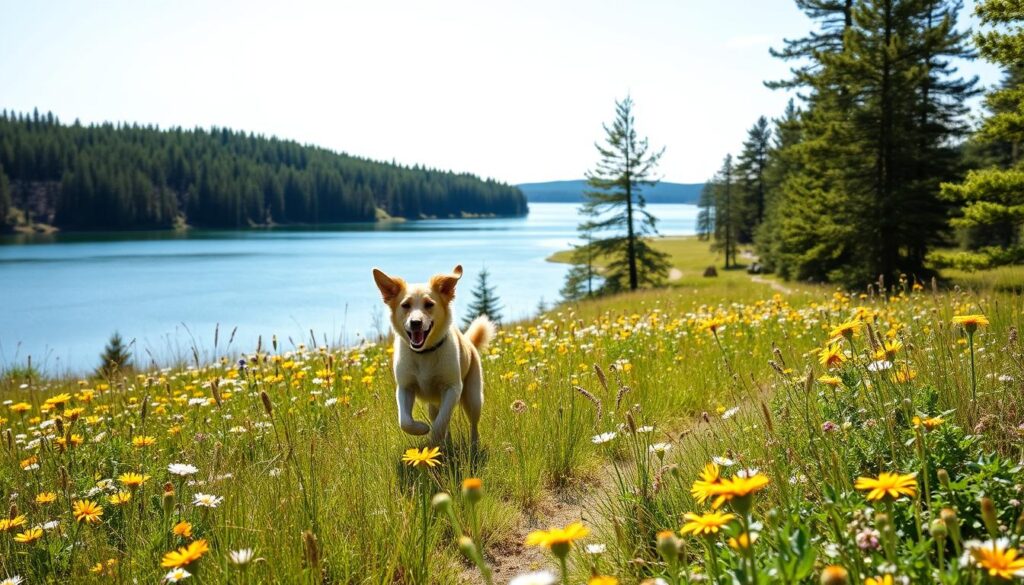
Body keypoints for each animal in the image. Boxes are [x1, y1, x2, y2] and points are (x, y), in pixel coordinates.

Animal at [372, 262, 495, 446]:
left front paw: (434, 441)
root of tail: (469, 342)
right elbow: (405, 422)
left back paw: (473, 444)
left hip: (473, 397)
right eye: (405, 305)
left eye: (429, 304)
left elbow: (440, 424)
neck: (424, 353)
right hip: (434, 404)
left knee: (471, 423)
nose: (415, 323)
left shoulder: (452, 388)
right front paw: (422, 429)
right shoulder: (405, 388)